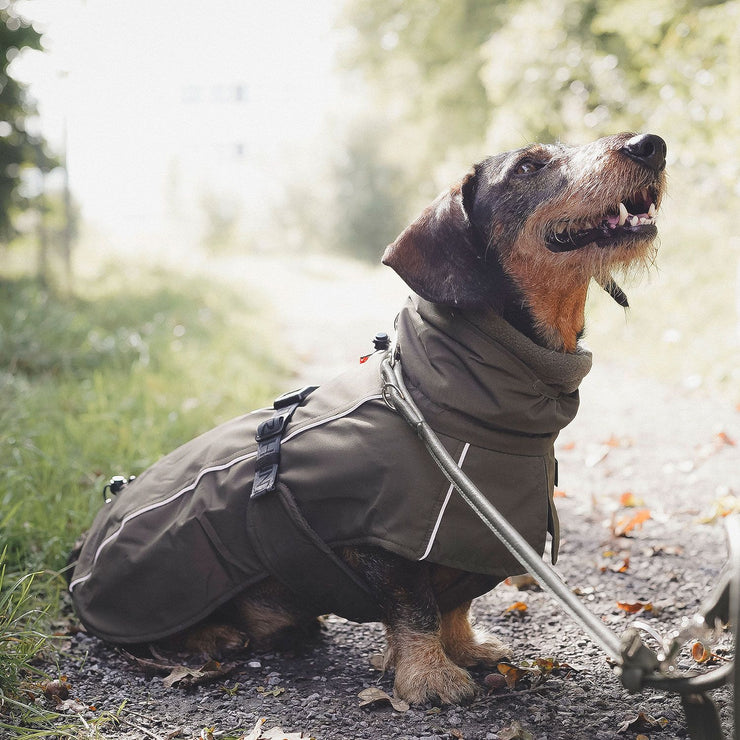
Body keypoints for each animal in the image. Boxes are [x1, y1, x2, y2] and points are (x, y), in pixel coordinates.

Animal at [69, 132, 668, 704]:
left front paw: (465, 649)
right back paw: (214, 635)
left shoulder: (468, 536)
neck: (449, 390)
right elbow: (416, 608)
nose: (651, 145)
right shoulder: (381, 542)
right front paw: (429, 677)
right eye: (528, 166)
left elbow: (454, 606)